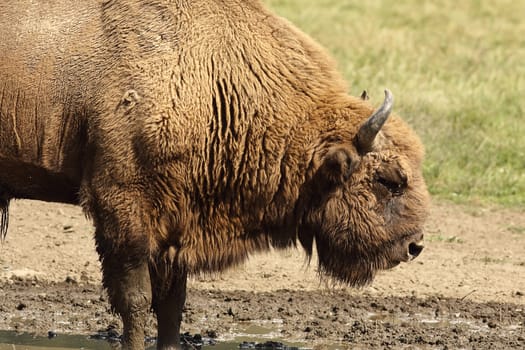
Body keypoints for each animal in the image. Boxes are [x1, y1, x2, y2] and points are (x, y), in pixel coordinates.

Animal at [0, 0, 428, 350]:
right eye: (389, 179)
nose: (415, 245)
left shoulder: (175, 226)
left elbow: (171, 303)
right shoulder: (124, 213)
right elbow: (135, 300)